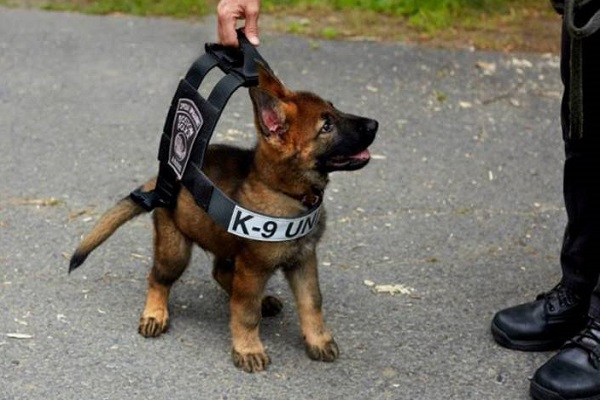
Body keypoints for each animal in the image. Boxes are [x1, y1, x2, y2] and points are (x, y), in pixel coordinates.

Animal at [68, 63, 378, 372]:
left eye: (335, 109)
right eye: (326, 127)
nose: (375, 124)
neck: (285, 191)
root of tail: (163, 178)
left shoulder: (303, 260)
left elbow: (312, 302)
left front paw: (318, 340)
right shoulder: (253, 268)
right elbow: (246, 312)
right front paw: (248, 348)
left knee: (221, 273)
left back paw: (262, 300)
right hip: (175, 249)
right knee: (159, 278)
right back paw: (155, 313)